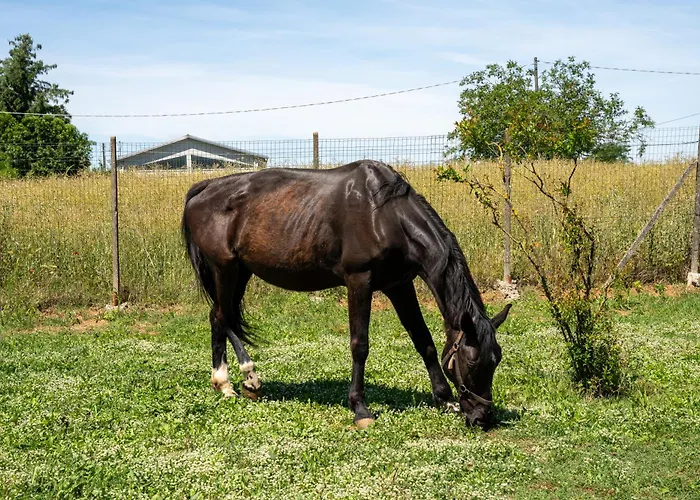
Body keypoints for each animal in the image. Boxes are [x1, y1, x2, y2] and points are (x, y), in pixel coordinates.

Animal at [181, 159, 511, 429]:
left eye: (496, 360)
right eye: (471, 363)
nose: (482, 417)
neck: (386, 215)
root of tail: (204, 188)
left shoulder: (399, 285)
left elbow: (423, 340)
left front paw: (444, 399)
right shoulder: (359, 281)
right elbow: (359, 345)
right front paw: (360, 408)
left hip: (240, 271)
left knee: (220, 317)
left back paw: (236, 382)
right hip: (224, 269)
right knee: (221, 316)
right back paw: (238, 380)